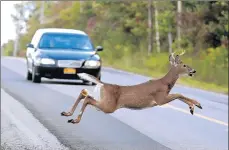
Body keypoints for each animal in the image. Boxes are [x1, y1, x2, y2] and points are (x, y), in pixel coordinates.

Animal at [60, 50, 202, 124]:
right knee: (88, 99)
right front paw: (196, 105)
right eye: (184, 65)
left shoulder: (163, 97)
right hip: (109, 106)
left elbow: (180, 95)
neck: (165, 83)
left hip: (102, 98)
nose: (194, 71)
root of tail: (103, 84)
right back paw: (75, 119)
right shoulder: (160, 98)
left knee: (84, 92)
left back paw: (67, 113)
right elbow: (179, 94)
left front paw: (193, 107)